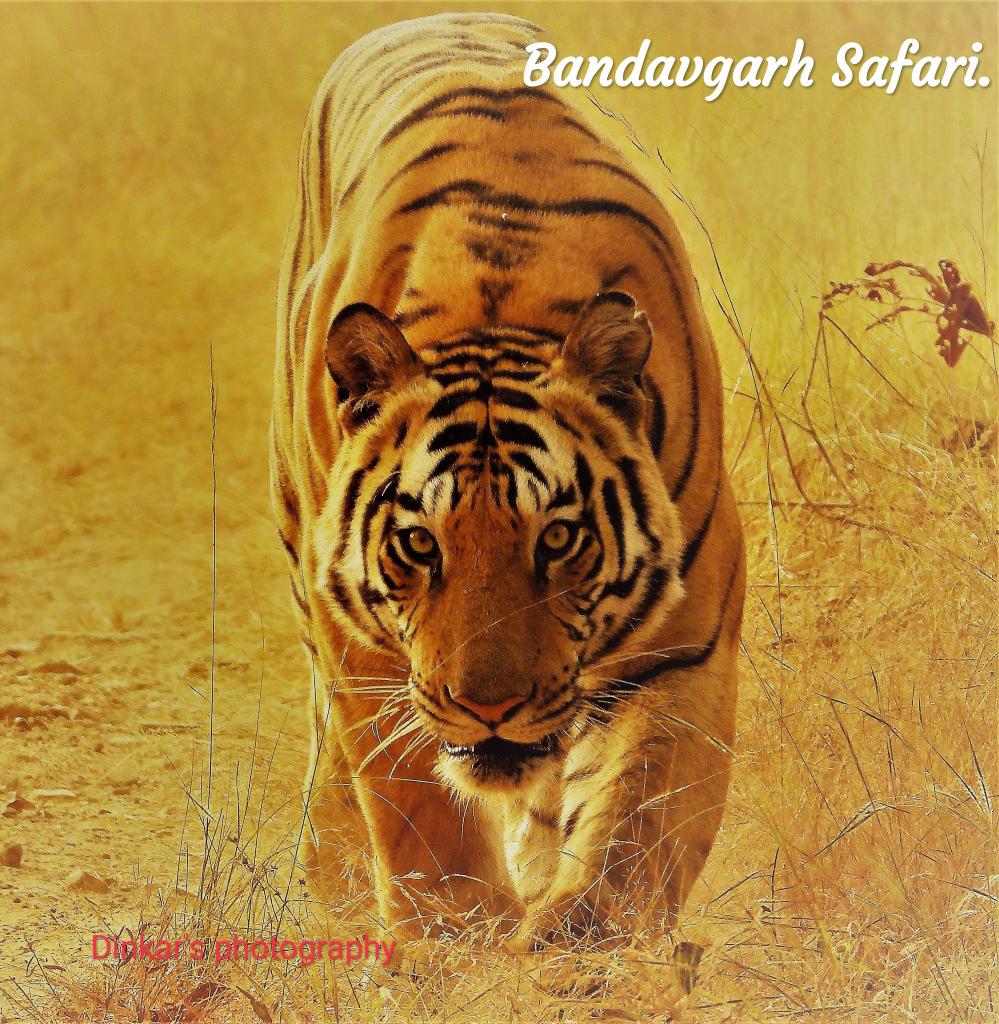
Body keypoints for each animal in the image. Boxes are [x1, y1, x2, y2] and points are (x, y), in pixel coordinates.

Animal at [270, 11, 745, 948]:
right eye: (419, 544)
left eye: (556, 538)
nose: (487, 707)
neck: (498, 303)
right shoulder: (367, 655)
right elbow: (416, 810)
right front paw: (454, 939)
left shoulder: (686, 642)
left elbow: (635, 828)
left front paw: (576, 942)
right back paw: (338, 880)